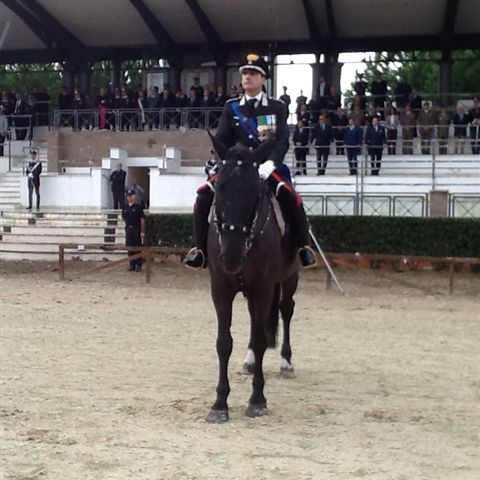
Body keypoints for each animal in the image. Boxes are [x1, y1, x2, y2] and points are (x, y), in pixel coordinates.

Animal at [205, 136, 300, 423]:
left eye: (254, 192)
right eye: (219, 188)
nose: (231, 255)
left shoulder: (263, 288)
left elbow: (260, 342)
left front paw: (257, 400)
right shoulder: (220, 288)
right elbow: (223, 343)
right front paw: (219, 403)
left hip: (289, 277)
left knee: (286, 310)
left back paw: (286, 362)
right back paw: (248, 361)